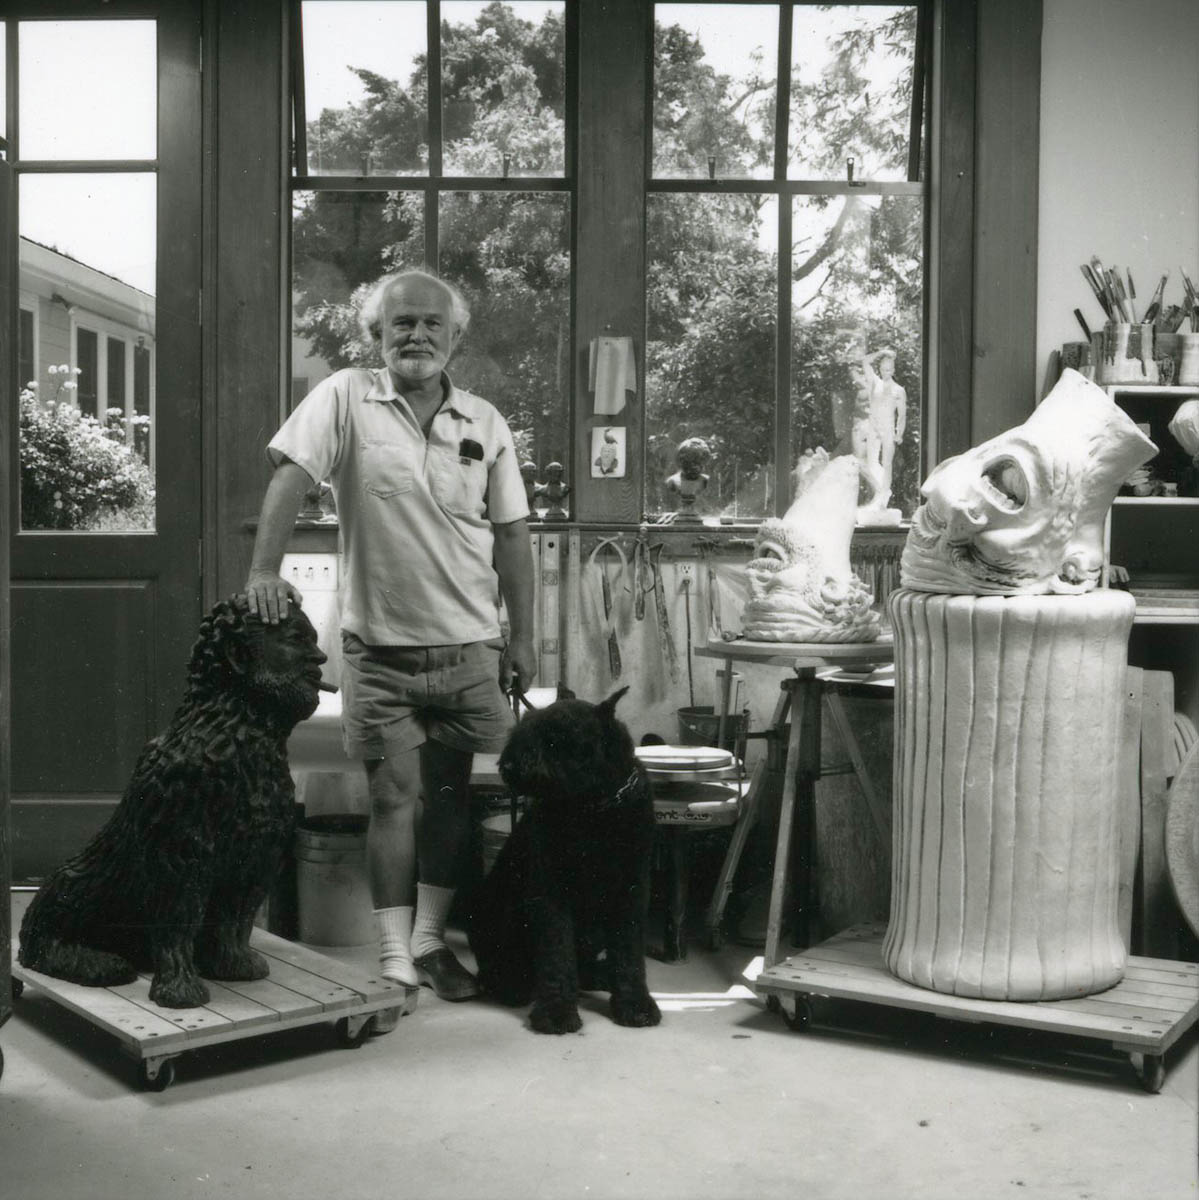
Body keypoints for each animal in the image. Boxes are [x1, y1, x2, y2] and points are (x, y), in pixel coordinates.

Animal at [468, 686, 662, 1032]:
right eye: (526, 729)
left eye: (557, 737)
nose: (510, 766)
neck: (594, 806)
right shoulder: (551, 888)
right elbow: (557, 949)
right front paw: (556, 1011)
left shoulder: (631, 888)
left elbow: (628, 952)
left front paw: (635, 1004)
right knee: (496, 965)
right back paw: (510, 985)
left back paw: (600, 975)